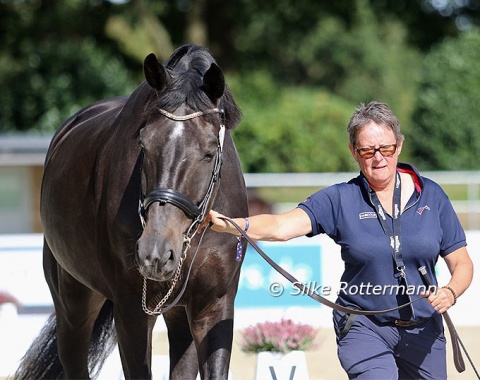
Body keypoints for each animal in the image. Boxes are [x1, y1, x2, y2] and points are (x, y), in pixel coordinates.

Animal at [13, 45, 249, 380]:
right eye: (144, 144)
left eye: (209, 152)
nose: (155, 254)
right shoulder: (131, 310)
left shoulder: (214, 306)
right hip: (73, 298)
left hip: (176, 310)